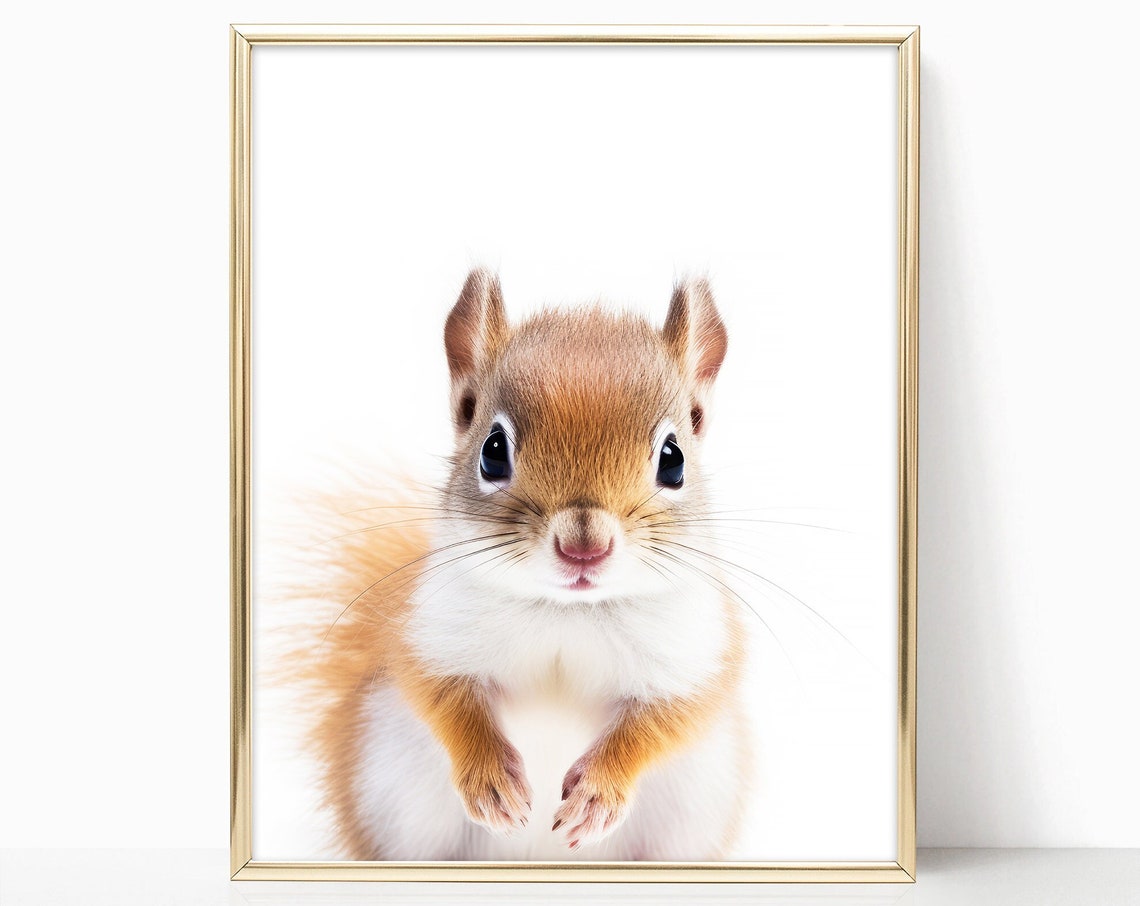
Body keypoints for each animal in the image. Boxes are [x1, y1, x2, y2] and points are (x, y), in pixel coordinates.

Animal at [302, 269, 750, 861]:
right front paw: (490, 782)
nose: (585, 547)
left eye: (673, 460)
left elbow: (664, 723)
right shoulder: (428, 635)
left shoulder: (692, 658)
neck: (565, 612)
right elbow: (443, 697)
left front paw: (598, 795)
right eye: (493, 451)